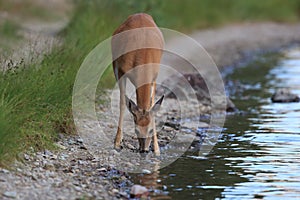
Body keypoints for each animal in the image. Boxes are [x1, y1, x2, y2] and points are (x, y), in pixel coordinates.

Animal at [111, 13, 164, 155]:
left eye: (150, 130)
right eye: (136, 130)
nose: (144, 150)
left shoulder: (154, 76)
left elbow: (152, 104)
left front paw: (157, 148)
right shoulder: (120, 71)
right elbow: (122, 103)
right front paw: (117, 143)